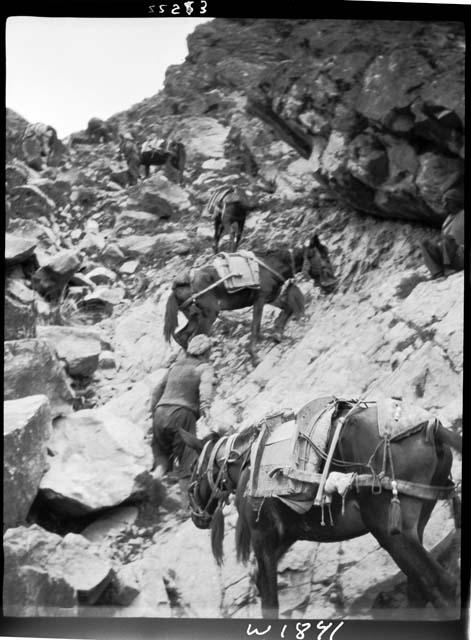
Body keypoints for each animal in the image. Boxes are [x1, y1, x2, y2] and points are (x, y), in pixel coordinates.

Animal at [164, 236, 338, 364]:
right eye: (325, 258)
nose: (333, 284)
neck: (271, 266)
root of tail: (178, 285)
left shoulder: (272, 297)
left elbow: (287, 309)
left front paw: (277, 333)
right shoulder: (260, 300)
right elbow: (255, 328)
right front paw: (254, 356)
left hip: (194, 315)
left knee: (181, 336)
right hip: (209, 315)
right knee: (196, 337)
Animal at [181, 402, 464, 616]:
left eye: (193, 467)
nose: (195, 514)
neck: (248, 462)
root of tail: (432, 428)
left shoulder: (263, 536)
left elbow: (269, 599)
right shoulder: (284, 537)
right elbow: (261, 582)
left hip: (389, 530)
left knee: (438, 583)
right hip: (416, 520)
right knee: (420, 588)